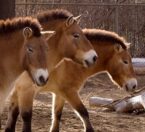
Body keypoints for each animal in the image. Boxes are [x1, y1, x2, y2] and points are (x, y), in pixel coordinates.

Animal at [5, 28, 137, 131]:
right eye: (125, 61)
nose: (134, 85)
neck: (70, 62)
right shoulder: (70, 92)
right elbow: (83, 112)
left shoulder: (59, 94)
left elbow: (57, 116)